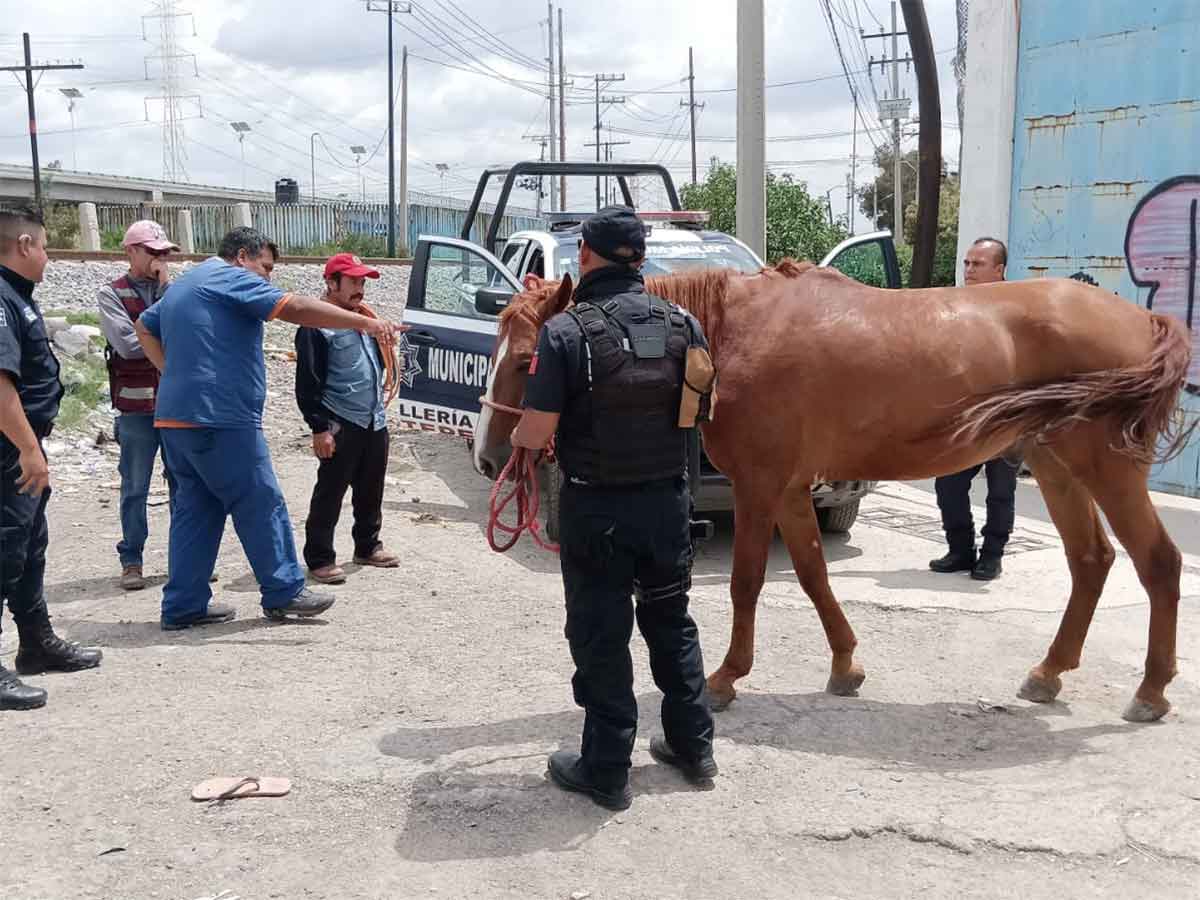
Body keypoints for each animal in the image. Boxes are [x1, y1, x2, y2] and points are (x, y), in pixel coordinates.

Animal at [474, 261, 1195, 723]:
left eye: (527, 359)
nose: (489, 456)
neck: (730, 334)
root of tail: (1143, 319)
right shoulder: (793, 490)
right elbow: (814, 575)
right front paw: (846, 665)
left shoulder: (759, 485)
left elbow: (747, 582)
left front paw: (725, 678)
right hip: (1056, 465)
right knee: (1091, 561)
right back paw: (1049, 673)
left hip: (1105, 467)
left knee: (1157, 563)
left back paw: (1151, 691)